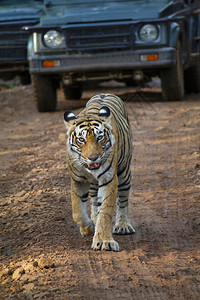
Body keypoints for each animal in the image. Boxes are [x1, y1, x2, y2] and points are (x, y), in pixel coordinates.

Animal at [63, 93, 136, 251]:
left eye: (100, 137)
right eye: (81, 139)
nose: (93, 158)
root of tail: (106, 93)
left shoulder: (109, 179)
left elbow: (106, 211)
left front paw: (104, 240)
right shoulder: (78, 180)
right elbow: (77, 212)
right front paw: (89, 227)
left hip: (124, 172)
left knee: (123, 199)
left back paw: (123, 225)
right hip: (93, 184)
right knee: (94, 201)